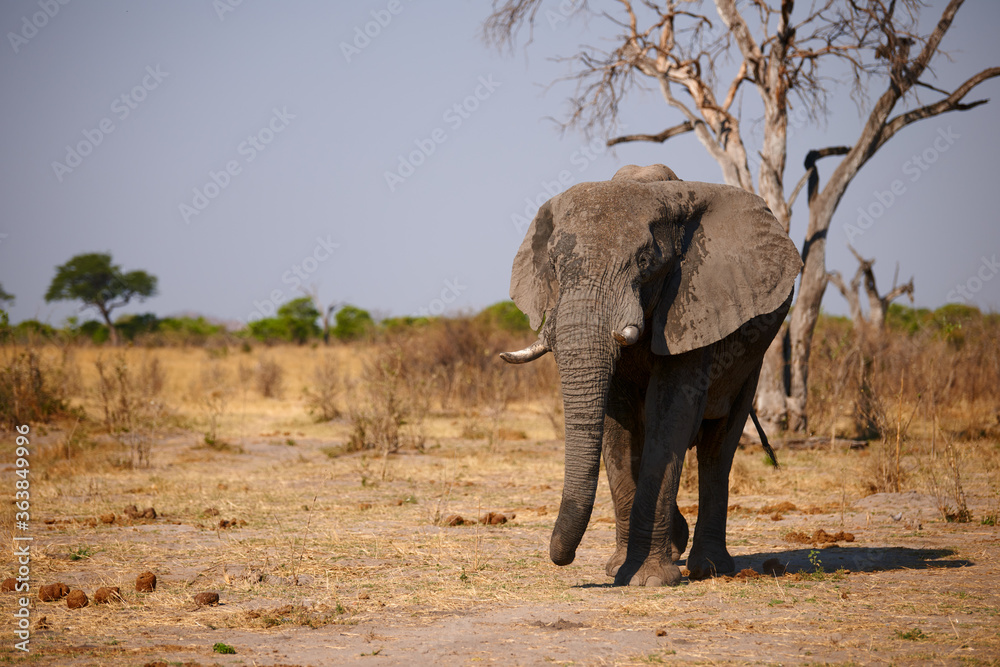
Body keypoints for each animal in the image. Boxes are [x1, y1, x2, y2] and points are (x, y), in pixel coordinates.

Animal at [500, 164, 802, 586]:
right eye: (555, 267)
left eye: (645, 261)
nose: (562, 559)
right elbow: (619, 423)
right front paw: (620, 570)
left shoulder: (693, 304)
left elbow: (671, 412)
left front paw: (649, 579)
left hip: (753, 358)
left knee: (718, 448)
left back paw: (709, 567)